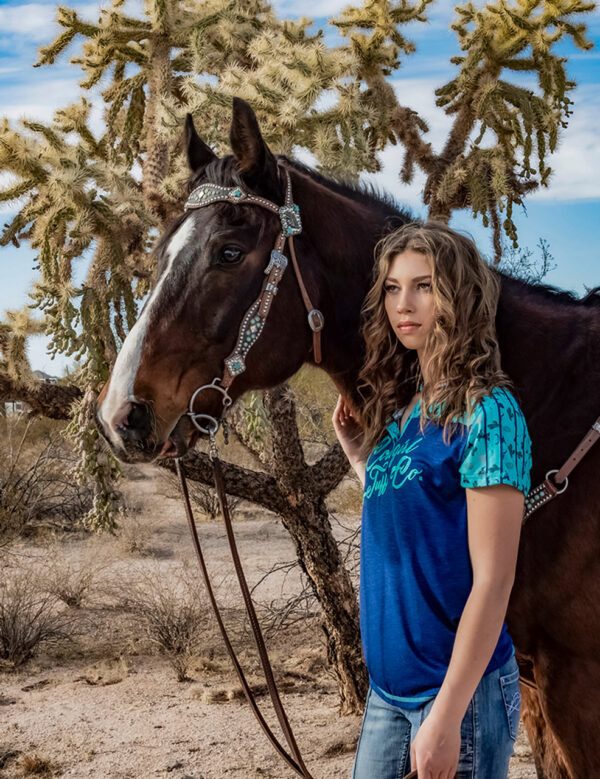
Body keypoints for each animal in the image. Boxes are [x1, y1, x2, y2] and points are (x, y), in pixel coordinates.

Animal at [96, 96, 600, 772]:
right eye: (157, 255)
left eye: (229, 251)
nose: (120, 415)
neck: (555, 398)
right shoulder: (535, 688)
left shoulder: (577, 686)